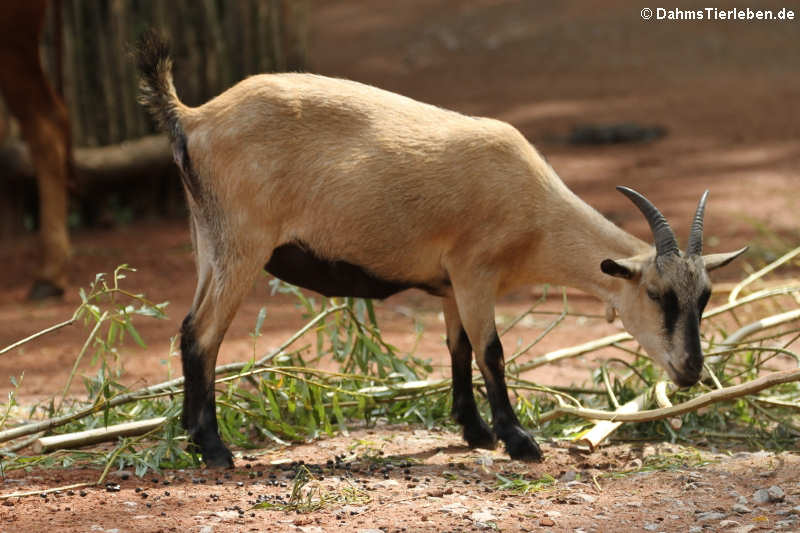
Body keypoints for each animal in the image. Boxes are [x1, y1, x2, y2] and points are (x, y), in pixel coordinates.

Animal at [134, 33, 748, 466]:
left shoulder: (452, 283)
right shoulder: (475, 271)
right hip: (242, 243)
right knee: (204, 334)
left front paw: (474, 431)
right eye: (657, 294)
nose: (690, 371)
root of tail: (193, 117)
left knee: (189, 331)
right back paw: (215, 450)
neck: (536, 210)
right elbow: (492, 352)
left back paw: (192, 441)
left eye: (705, 298)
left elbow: (457, 351)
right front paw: (519, 440)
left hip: (209, 240)